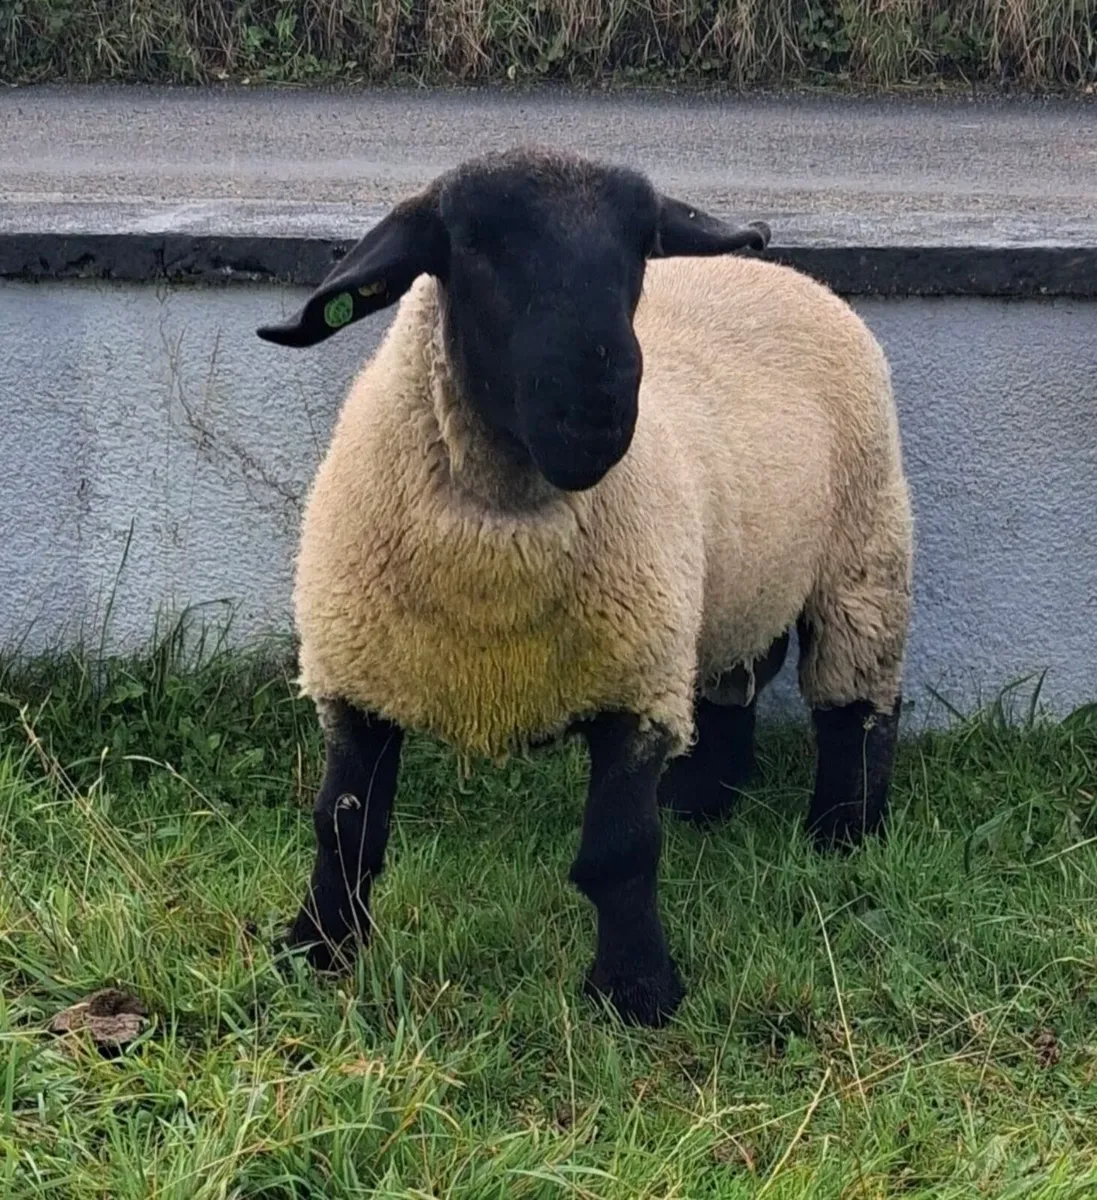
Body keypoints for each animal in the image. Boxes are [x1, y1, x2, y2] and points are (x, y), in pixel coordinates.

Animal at [257, 146, 914, 1028]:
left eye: (640, 247)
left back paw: (841, 833)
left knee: (856, 707)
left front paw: (636, 990)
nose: (598, 411)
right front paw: (317, 949)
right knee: (733, 681)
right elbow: (342, 828)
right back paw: (699, 800)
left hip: (863, 553)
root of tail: (773, 271)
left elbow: (619, 852)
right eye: (474, 245)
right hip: (727, 581)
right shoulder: (357, 676)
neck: (495, 559)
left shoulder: (631, 683)